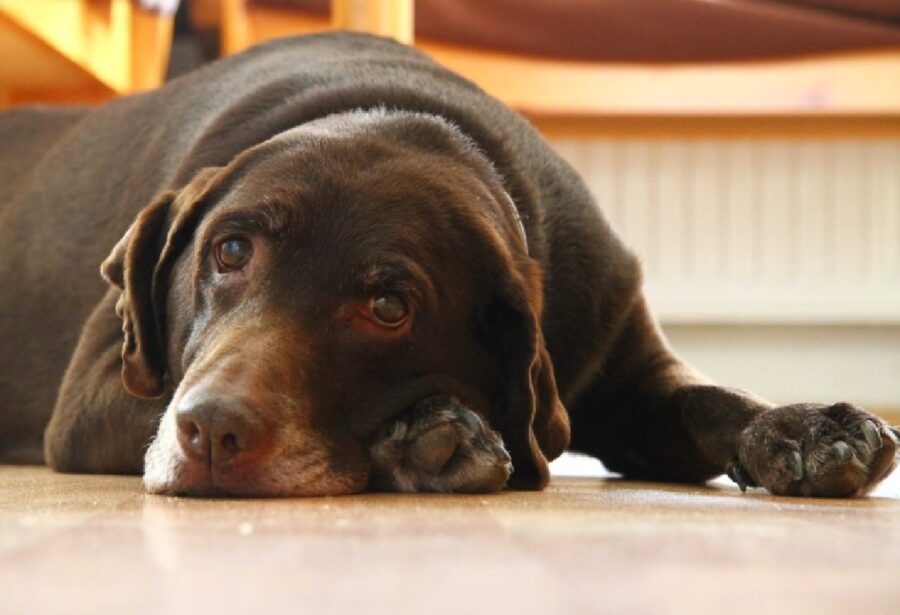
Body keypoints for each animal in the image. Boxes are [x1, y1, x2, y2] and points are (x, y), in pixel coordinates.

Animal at [1, 33, 900, 498]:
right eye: (229, 250)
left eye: (389, 307)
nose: (211, 432)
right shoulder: (97, 391)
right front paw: (431, 435)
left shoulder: (623, 354)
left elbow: (710, 398)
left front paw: (808, 426)